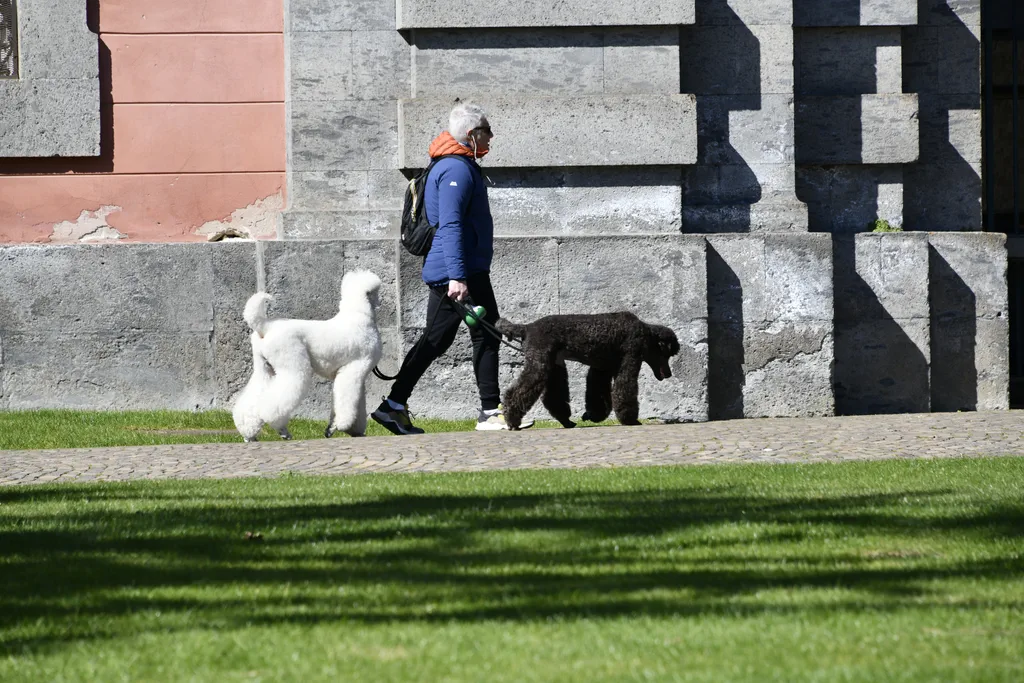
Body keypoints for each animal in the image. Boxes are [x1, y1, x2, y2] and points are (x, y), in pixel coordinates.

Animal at [232, 270, 384, 442]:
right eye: (375, 292)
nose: (380, 301)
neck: (358, 315)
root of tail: (266, 327)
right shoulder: (354, 370)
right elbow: (346, 401)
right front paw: (341, 425)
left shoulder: (354, 375)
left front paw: (342, 429)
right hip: (293, 365)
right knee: (272, 406)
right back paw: (282, 430)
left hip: (264, 368)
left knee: (251, 403)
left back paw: (249, 434)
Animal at [497, 312, 680, 430]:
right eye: (667, 354)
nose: (669, 373)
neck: (646, 335)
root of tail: (526, 328)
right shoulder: (629, 360)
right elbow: (624, 391)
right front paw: (630, 420)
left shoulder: (602, 369)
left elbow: (598, 395)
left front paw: (592, 415)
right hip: (539, 365)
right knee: (517, 392)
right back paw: (513, 421)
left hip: (554, 365)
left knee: (552, 398)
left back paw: (566, 421)